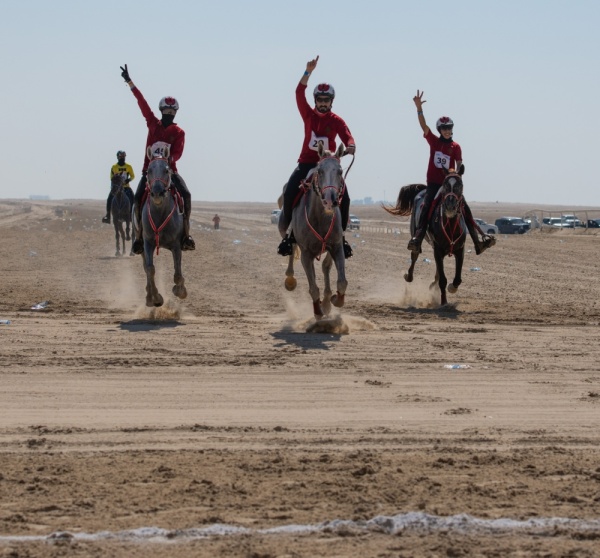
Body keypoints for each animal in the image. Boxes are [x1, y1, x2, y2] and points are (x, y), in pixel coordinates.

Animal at [132, 147, 186, 308]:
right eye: (149, 170)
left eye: (167, 170)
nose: (157, 192)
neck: (160, 213)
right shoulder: (148, 243)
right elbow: (150, 270)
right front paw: (155, 298)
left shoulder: (176, 245)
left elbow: (178, 273)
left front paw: (180, 291)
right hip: (141, 245)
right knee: (146, 267)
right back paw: (149, 295)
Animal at [280, 142, 346, 322]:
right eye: (320, 171)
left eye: (340, 171)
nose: (330, 200)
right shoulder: (306, 253)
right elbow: (313, 287)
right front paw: (317, 312)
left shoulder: (337, 246)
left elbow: (341, 281)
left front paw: (335, 300)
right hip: (284, 229)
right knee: (291, 248)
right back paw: (290, 280)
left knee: (325, 267)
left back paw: (327, 302)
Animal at [384, 167, 468, 306]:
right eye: (445, 184)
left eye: (460, 185)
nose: (450, 205)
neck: (450, 225)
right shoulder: (438, 250)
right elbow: (443, 280)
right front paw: (444, 302)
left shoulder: (460, 250)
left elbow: (457, 278)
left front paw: (452, 288)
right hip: (416, 236)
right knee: (415, 255)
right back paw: (409, 276)